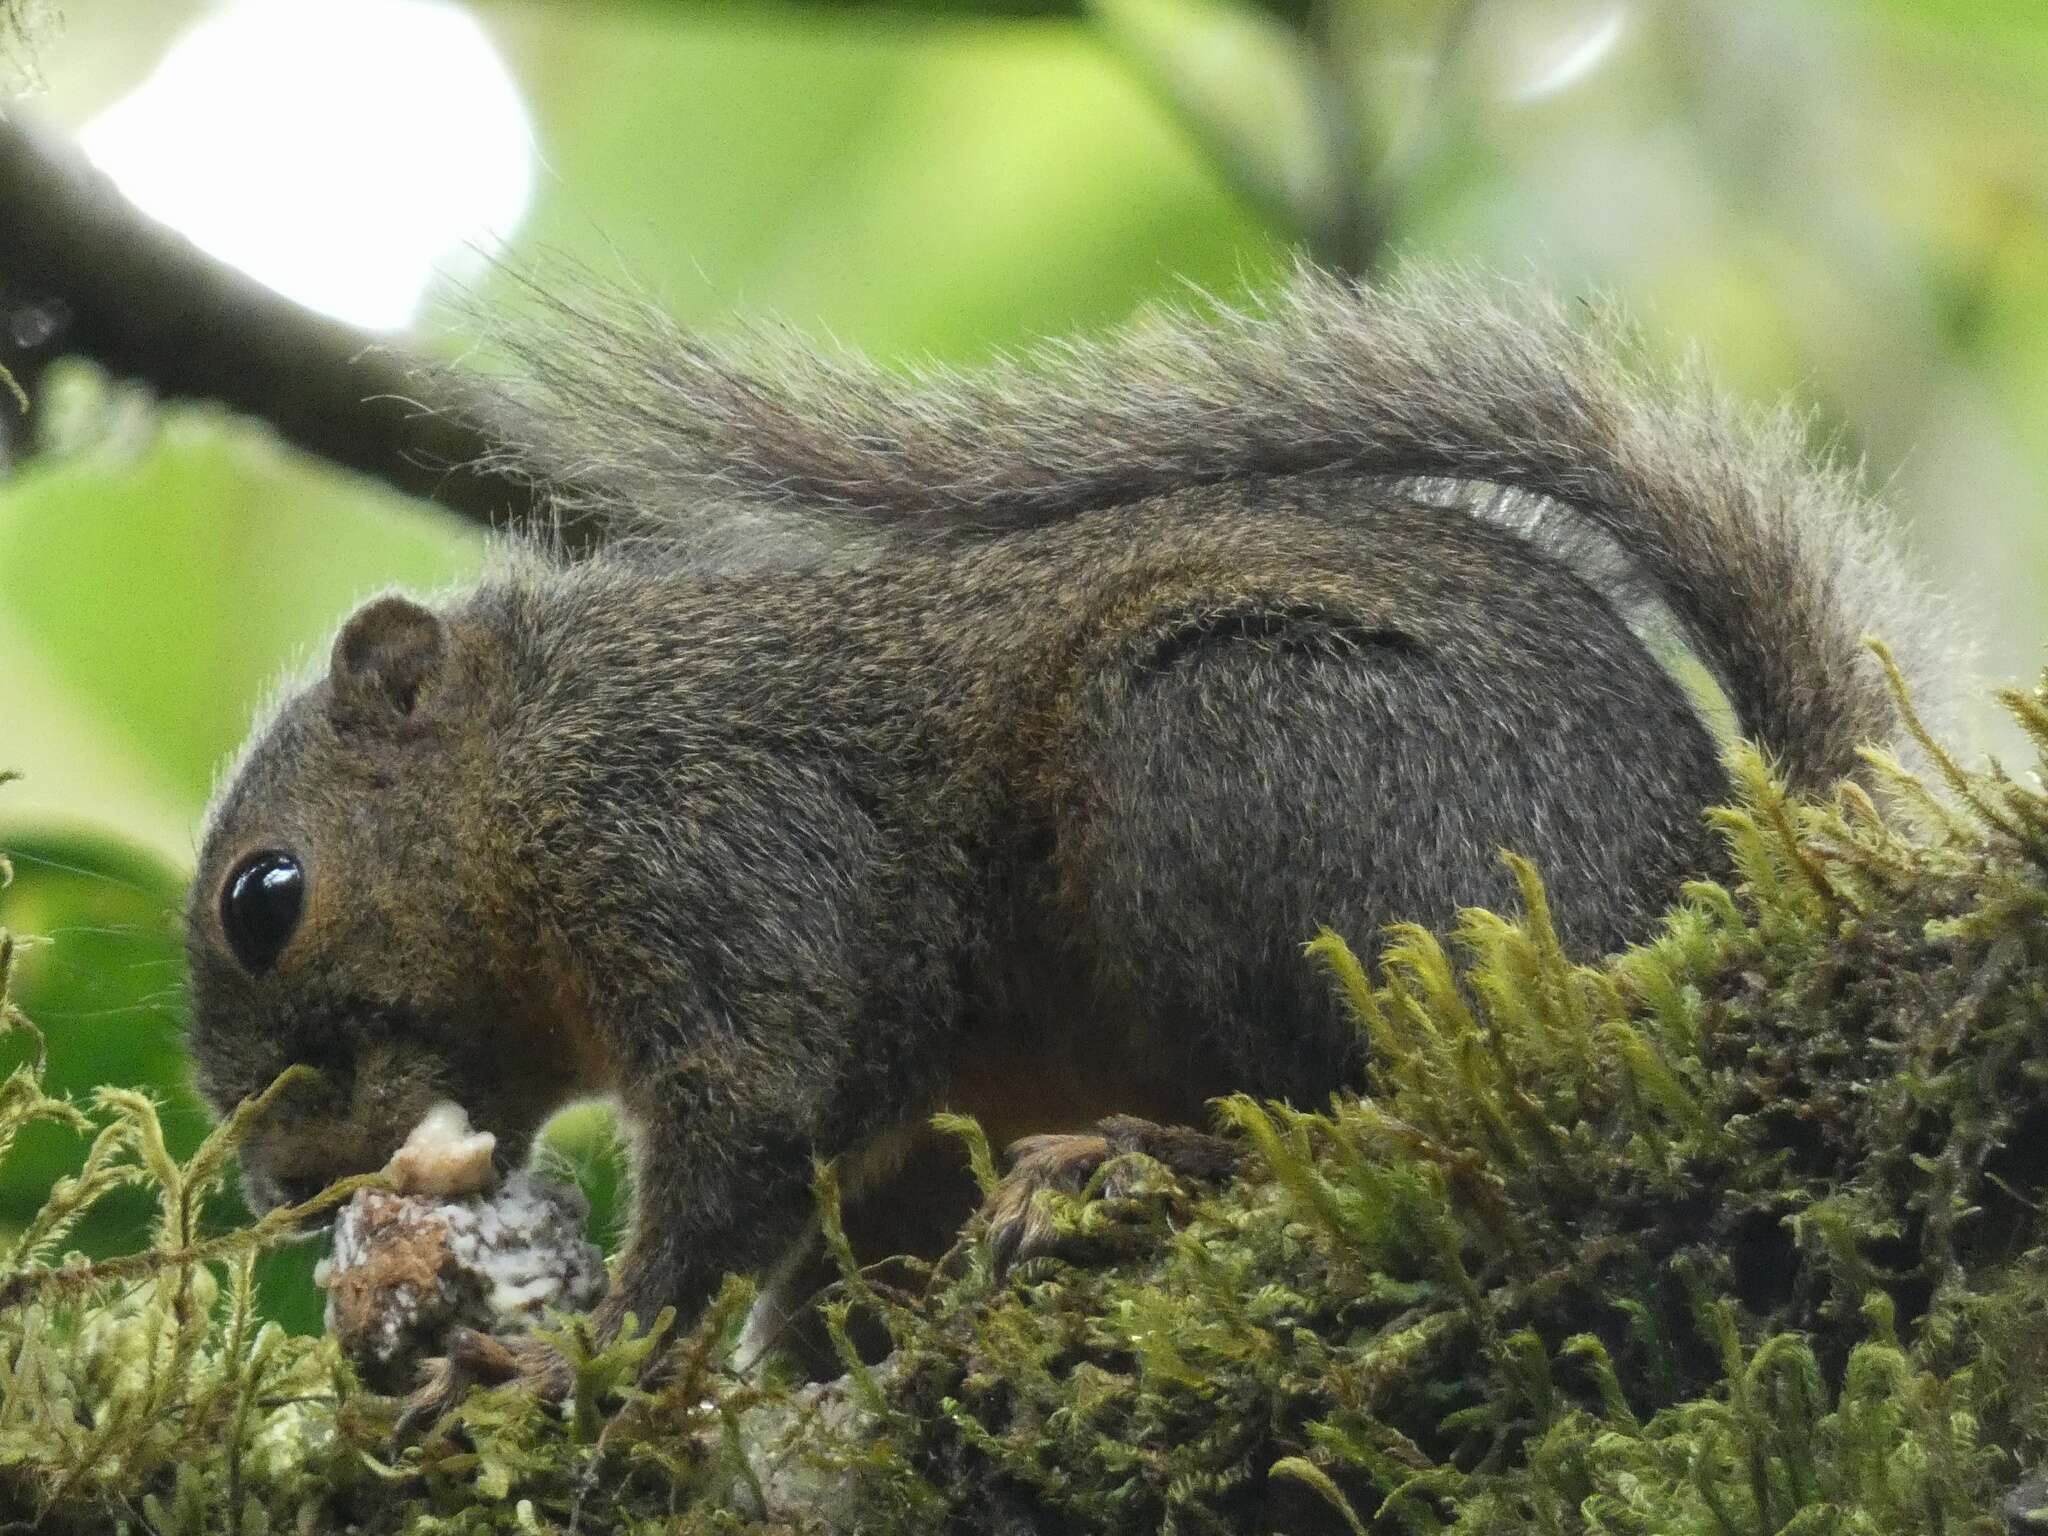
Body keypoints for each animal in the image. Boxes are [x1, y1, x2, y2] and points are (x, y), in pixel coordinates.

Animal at [180, 274, 1949, 1417]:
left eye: (266, 898)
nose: (285, 1189)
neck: (529, 774)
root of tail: (1719, 887)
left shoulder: (710, 838)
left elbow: (762, 1108)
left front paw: (572, 1358)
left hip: (1229, 750)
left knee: (1369, 1106)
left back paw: (1134, 1163)